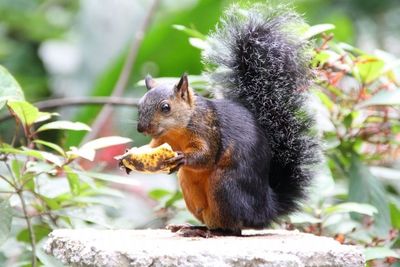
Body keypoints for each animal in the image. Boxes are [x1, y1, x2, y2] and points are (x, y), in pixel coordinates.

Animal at [137, 3, 318, 237]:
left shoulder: (209, 130)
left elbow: (206, 155)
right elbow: (152, 147)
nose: (141, 128)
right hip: (191, 189)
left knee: (234, 229)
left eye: (165, 107)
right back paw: (193, 227)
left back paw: (210, 232)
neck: (177, 131)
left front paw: (183, 157)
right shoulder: (160, 141)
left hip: (224, 187)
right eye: (140, 104)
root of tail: (264, 209)